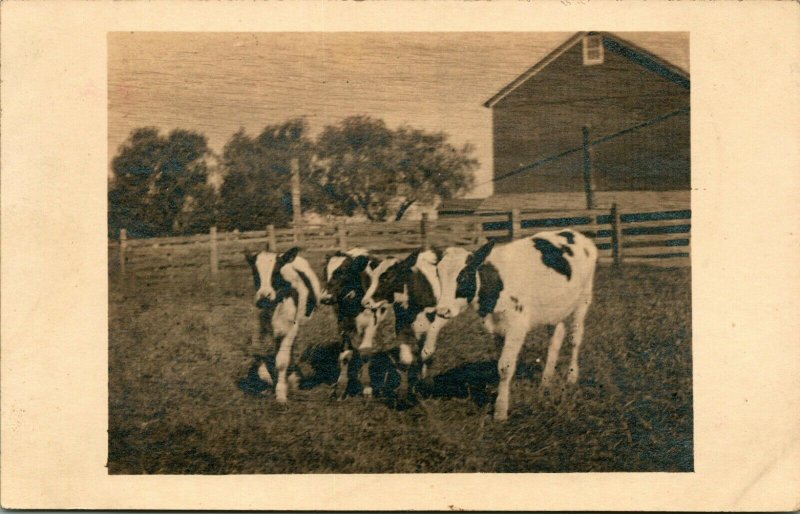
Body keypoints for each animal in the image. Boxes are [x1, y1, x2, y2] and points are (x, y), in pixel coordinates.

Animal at [244, 246, 322, 402]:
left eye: (276, 272)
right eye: (255, 272)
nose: (264, 297)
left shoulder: (291, 328)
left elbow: (282, 360)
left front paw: (281, 393)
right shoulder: (260, 324)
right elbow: (256, 349)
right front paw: (265, 376)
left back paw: (291, 378)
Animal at [322, 247, 390, 396]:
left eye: (342, 272)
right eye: (325, 273)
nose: (325, 298)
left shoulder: (371, 323)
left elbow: (365, 352)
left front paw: (367, 387)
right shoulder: (342, 324)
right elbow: (345, 354)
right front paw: (341, 387)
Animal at [362, 248, 450, 400]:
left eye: (386, 277)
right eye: (372, 278)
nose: (365, 302)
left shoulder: (435, 323)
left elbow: (427, 353)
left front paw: (426, 387)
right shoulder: (401, 323)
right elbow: (405, 359)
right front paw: (404, 394)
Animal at [434, 229, 596, 420]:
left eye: (464, 275)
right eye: (438, 274)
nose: (442, 310)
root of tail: (574, 233)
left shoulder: (517, 326)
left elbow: (505, 366)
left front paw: (500, 410)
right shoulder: (497, 328)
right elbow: (500, 363)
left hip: (584, 298)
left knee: (574, 339)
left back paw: (571, 376)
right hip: (556, 309)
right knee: (555, 341)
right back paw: (546, 382)